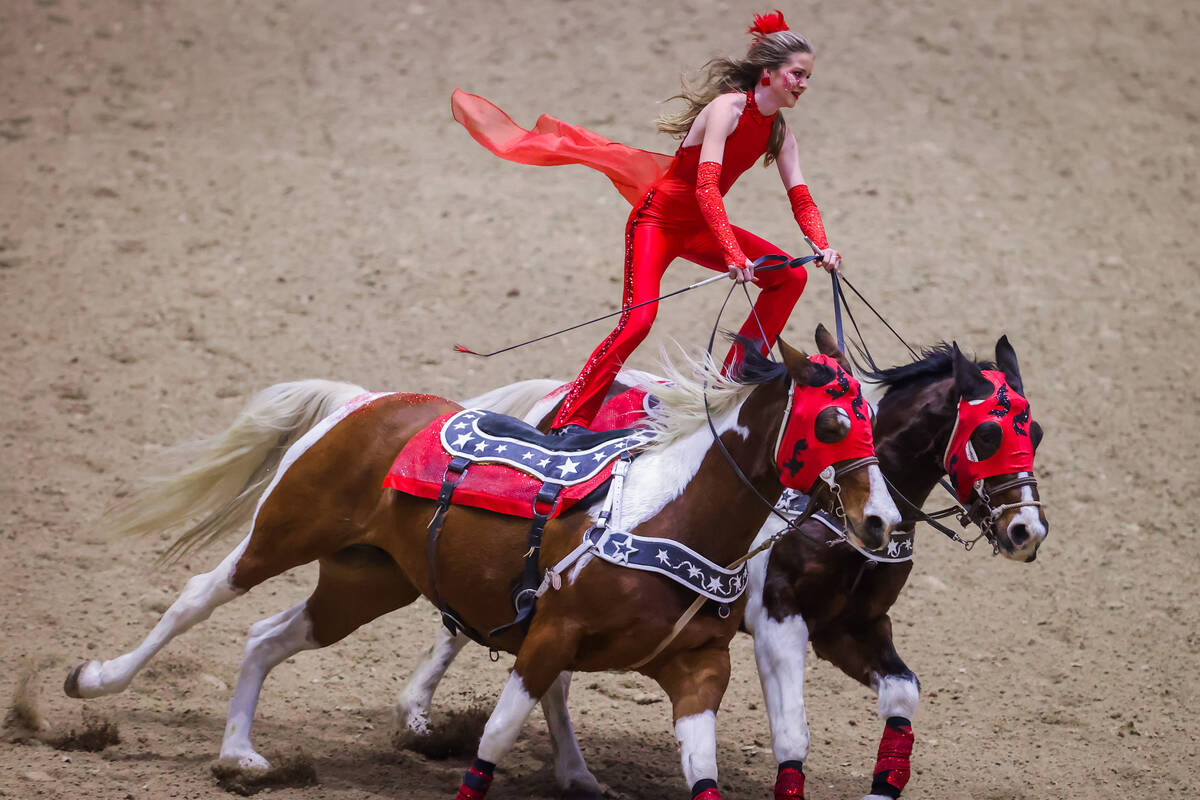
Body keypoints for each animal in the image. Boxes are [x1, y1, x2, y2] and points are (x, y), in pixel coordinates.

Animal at [60, 331, 897, 800]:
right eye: (832, 421)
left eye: (875, 421)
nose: (881, 521)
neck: (670, 515)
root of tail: (364, 402)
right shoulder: (549, 638)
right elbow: (495, 739)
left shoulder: (697, 671)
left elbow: (702, 772)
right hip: (282, 533)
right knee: (197, 598)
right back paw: (95, 681)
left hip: (364, 582)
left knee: (267, 636)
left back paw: (238, 755)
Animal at [398, 335, 1046, 796]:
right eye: (989, 434)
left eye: (1036, 431)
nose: (1027, 532)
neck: (830, 516)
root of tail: (554, 396)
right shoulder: (779, 621)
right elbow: (792, 734)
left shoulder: (852, 628)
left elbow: (903, 697)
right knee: (466, 630)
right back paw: (416, 716)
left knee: (544, 668)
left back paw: (575, 774)